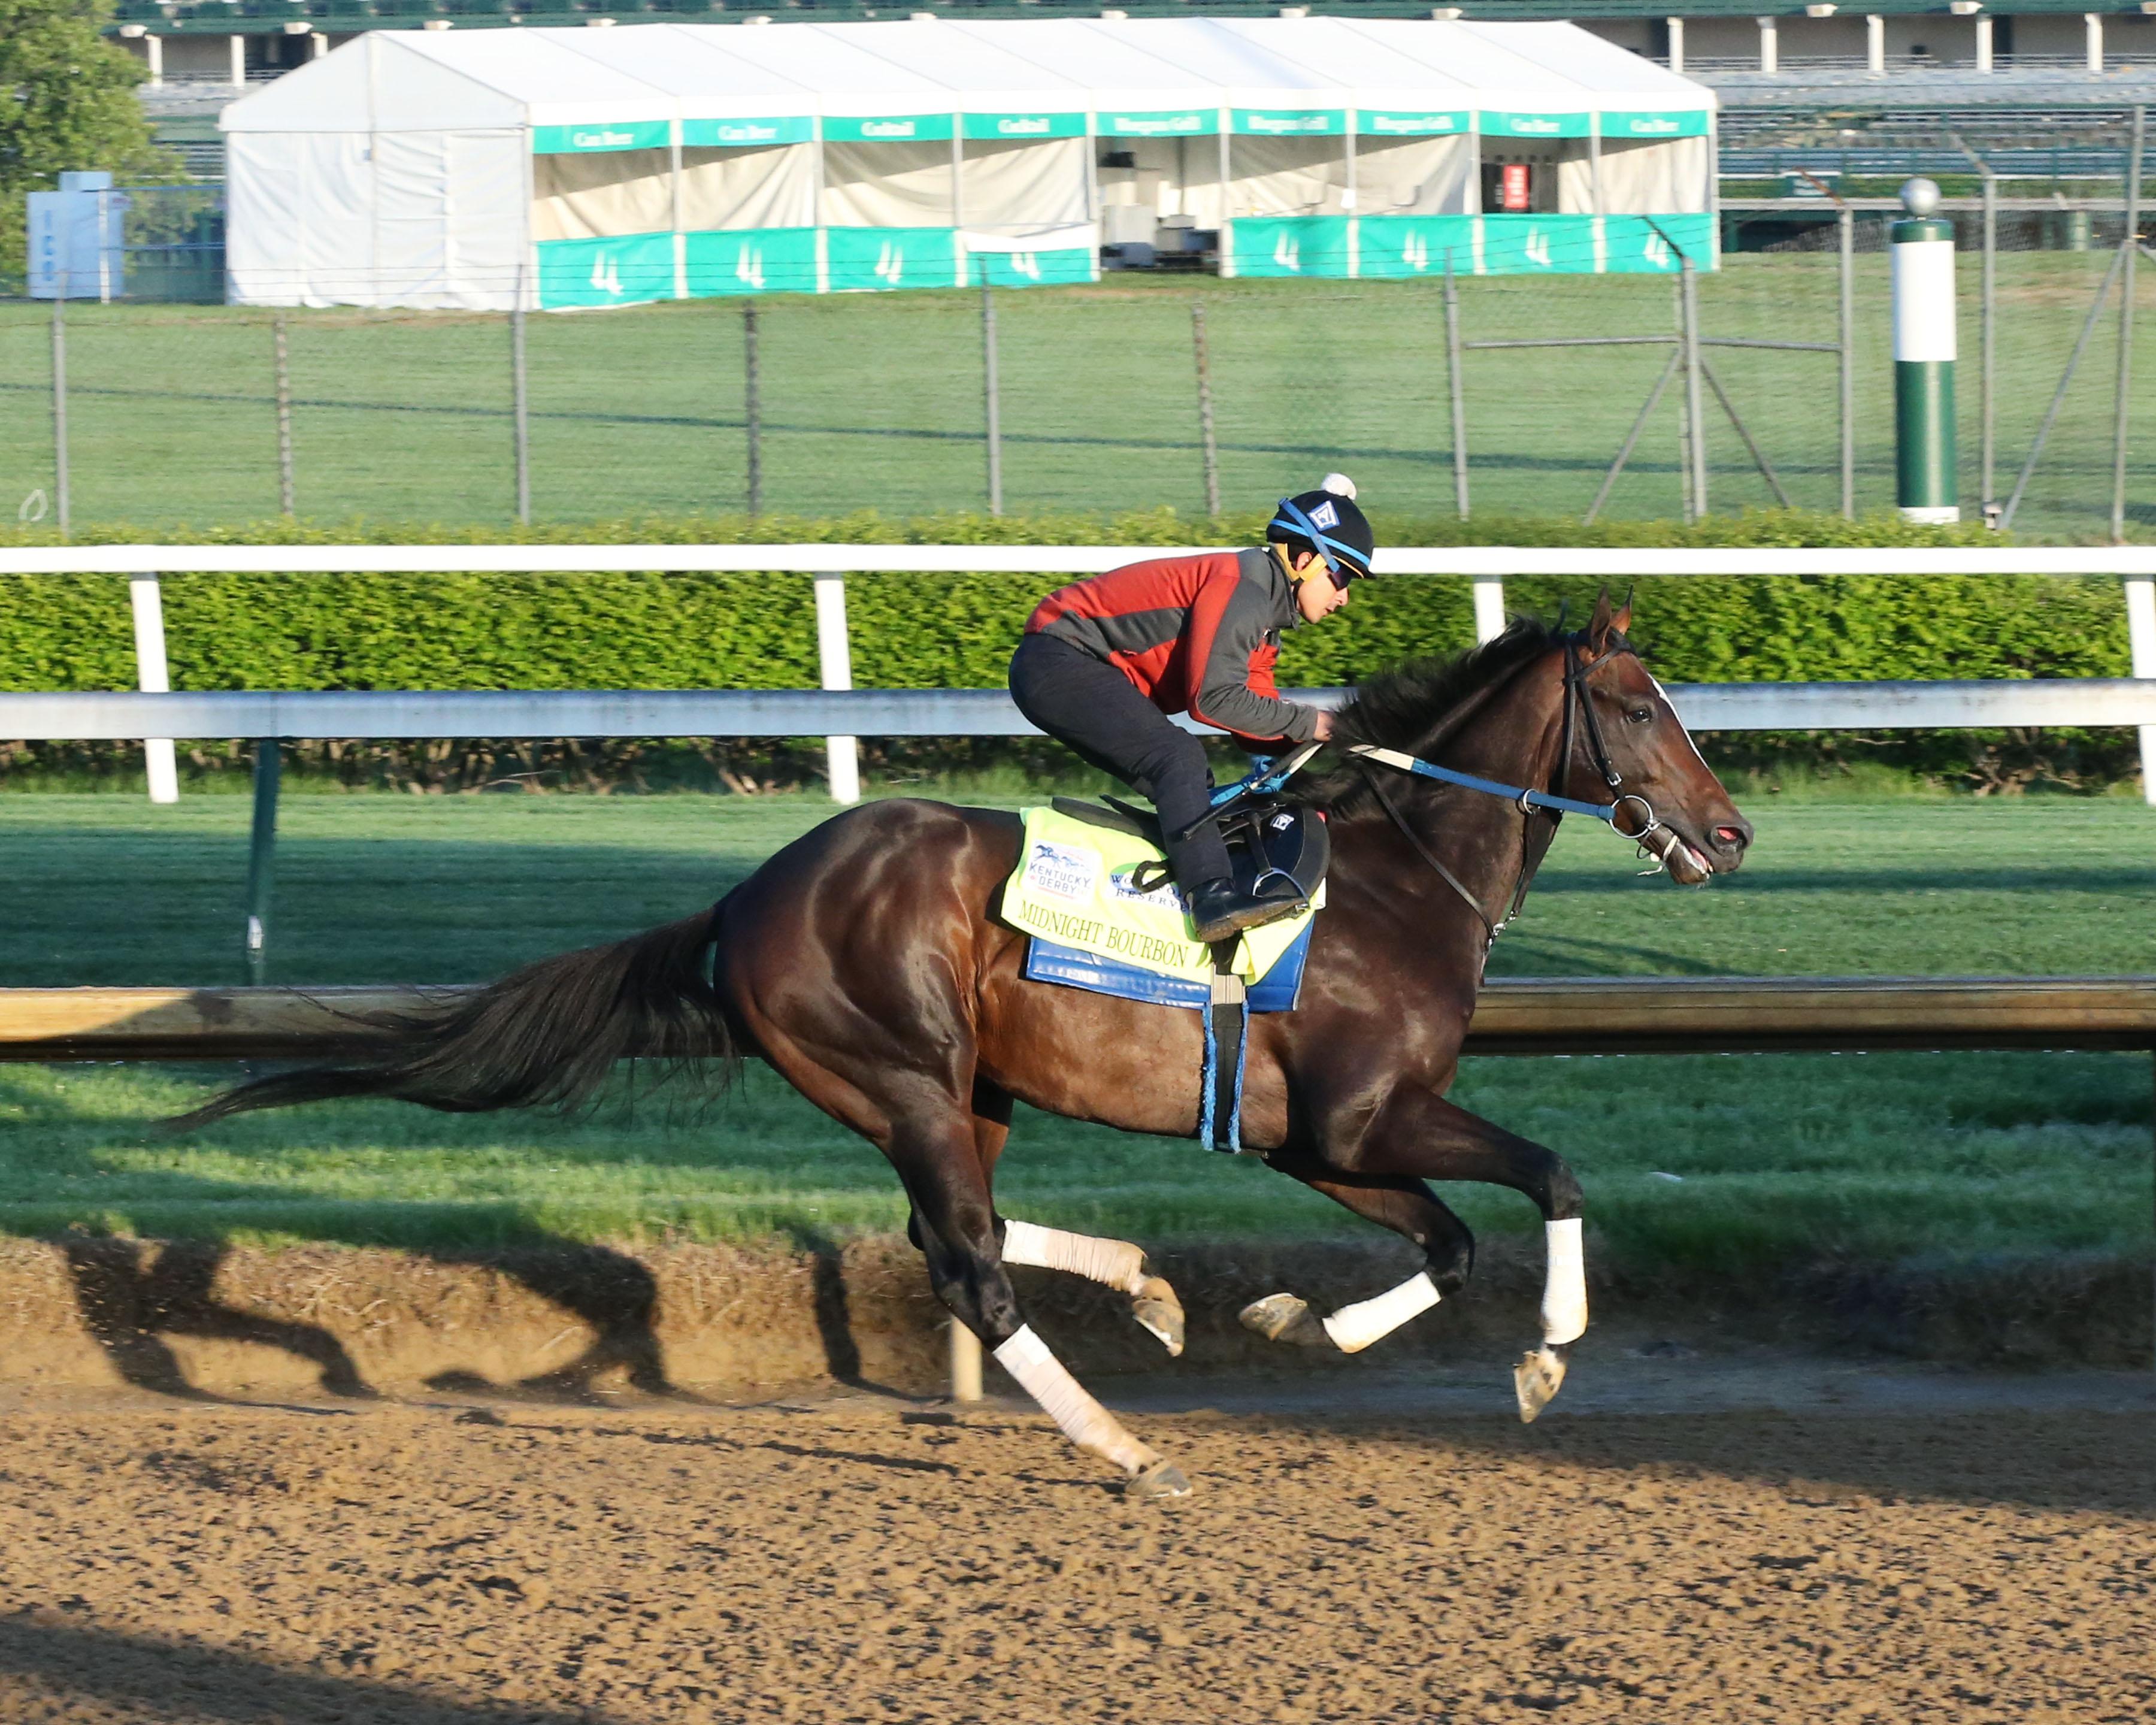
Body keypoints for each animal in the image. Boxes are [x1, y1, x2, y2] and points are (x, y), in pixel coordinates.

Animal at [175, 594, 1751, 1501]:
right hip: (900, 1071)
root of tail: (747, 897)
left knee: (963, 1233)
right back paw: (1126, 1447)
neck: (1390, 876)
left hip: (961, 1083)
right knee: (973, 1266)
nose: (1729, 833)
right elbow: (1547, 1177)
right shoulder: (1363, 1119)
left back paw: (1149, 1288)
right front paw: (1548, 1355)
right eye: (1639, 706)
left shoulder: (1318, 1139)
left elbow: (1453, 1240)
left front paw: (1292, 1319)